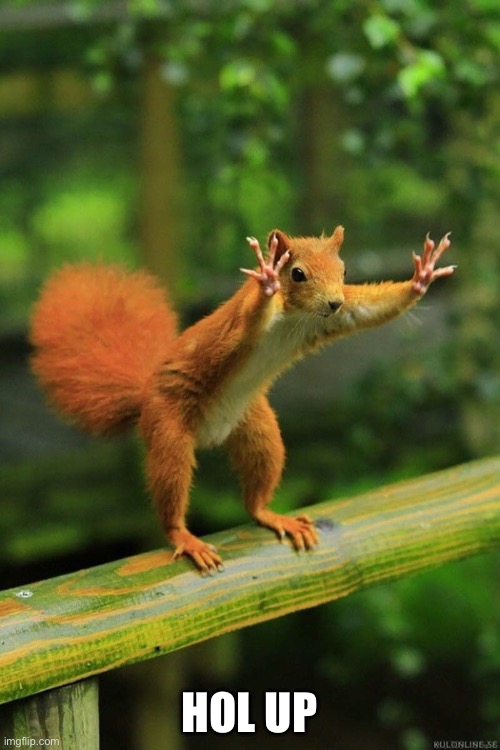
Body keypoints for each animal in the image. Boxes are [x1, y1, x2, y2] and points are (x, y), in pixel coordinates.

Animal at [30, 227, 454, 573]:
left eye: (345, 271)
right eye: (296, 273)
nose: (333, 301)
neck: (294, 316)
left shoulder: (334, 318)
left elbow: (368, 309)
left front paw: (422, 277)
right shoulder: (239, 326)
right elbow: (247, 322)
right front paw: (267, 278)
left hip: (258, 429)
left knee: (255, 493)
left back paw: (271, 515)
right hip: (168, 430)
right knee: (170, 488)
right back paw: (184, 536)